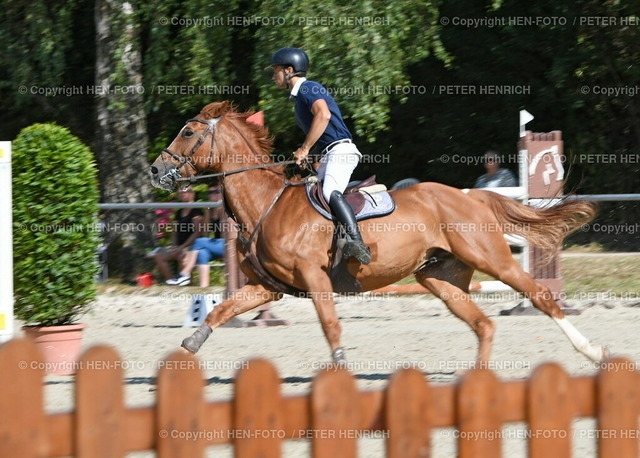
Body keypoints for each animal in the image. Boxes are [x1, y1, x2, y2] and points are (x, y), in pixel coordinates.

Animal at [149, 100, 604, 364]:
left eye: (188, 132)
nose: (155, 170)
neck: (267, 203)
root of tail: (470, 194)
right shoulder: (268, 287)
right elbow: (219, 311)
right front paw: (190, 346)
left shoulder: (315, 278)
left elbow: (331, 327)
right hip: (440, 276)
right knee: (483, 325)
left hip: (490, 258)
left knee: (540, 296)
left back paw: (592, 351)